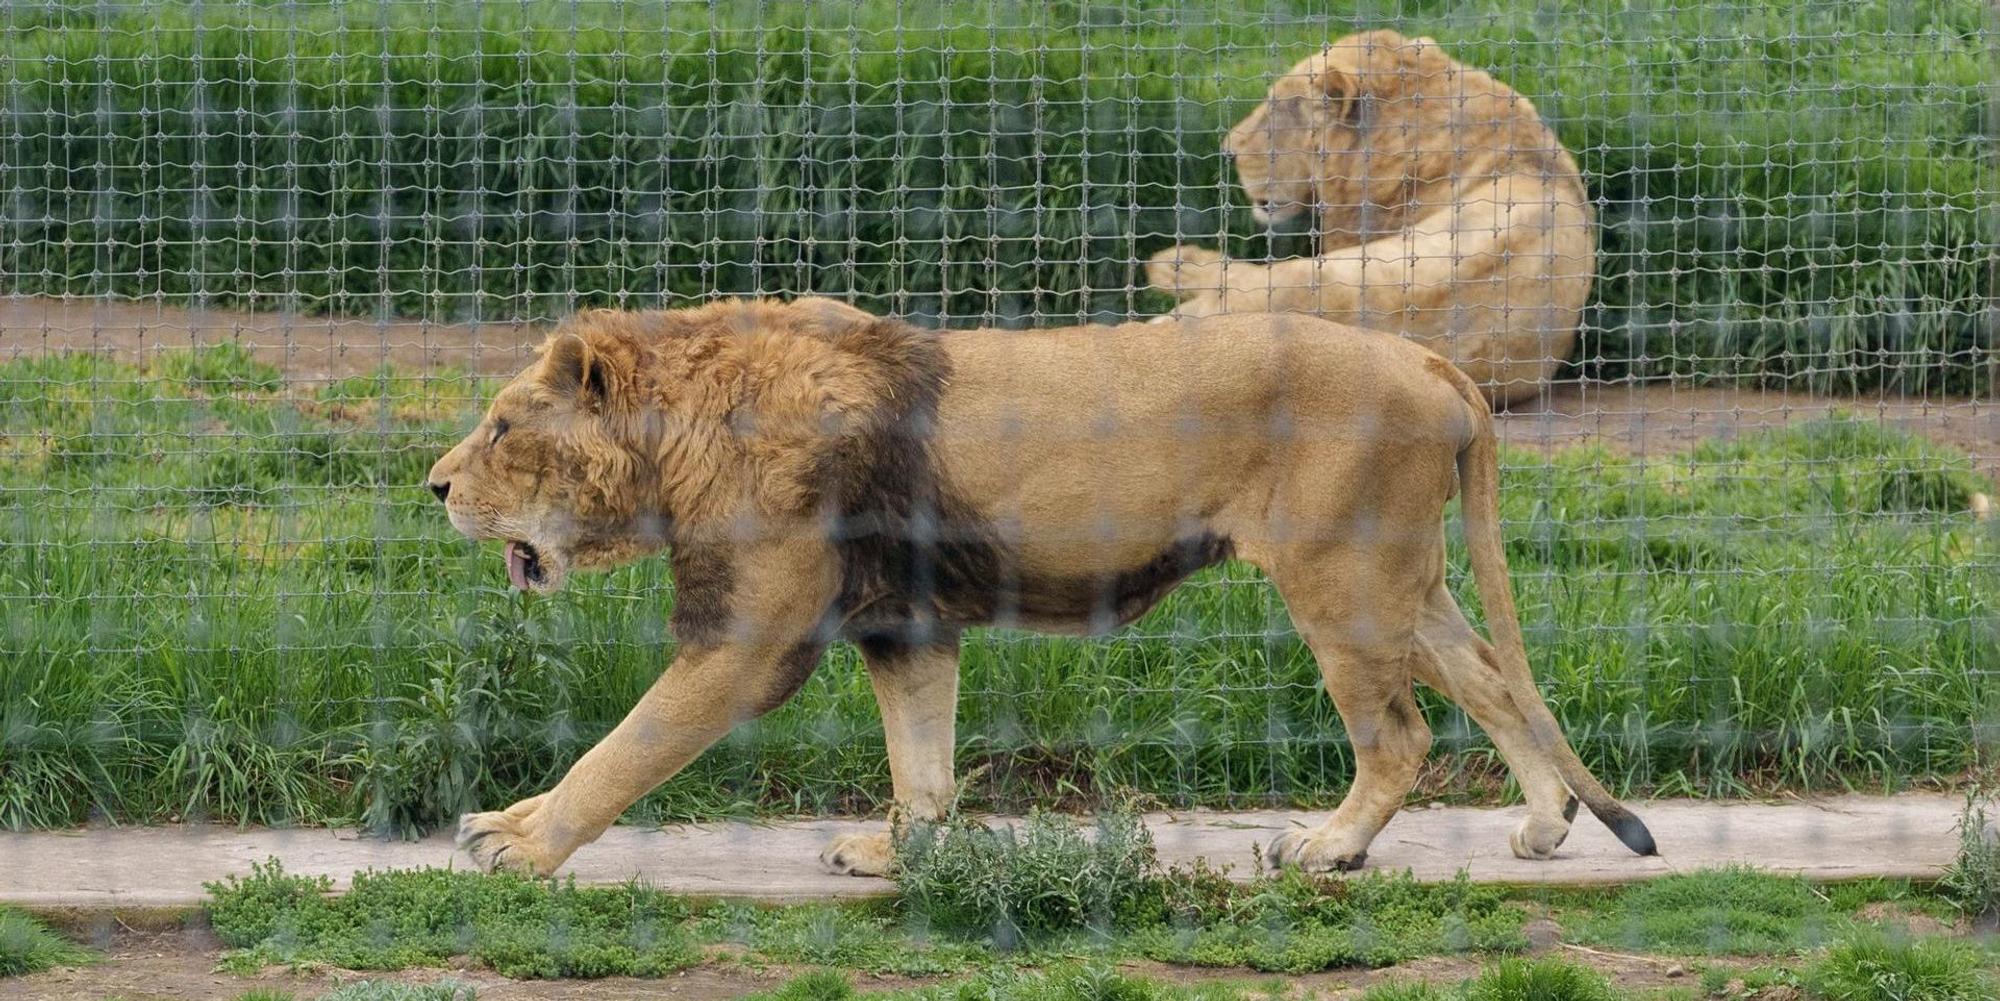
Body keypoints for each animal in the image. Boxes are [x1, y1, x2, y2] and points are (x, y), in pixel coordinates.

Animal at [424, 297, 1655, 878]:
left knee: (1399, 732)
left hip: (1338, 575)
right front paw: (894, 854)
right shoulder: (905, 622)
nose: (432, 484)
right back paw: (1542, 826)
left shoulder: (747, 635)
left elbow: (621, 749)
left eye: (502, 428)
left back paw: (1328, 848)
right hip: (1398, 576)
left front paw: (525, 847)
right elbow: (920, 764)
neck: (676, 438)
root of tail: (1426, 357)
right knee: (1492, 678)